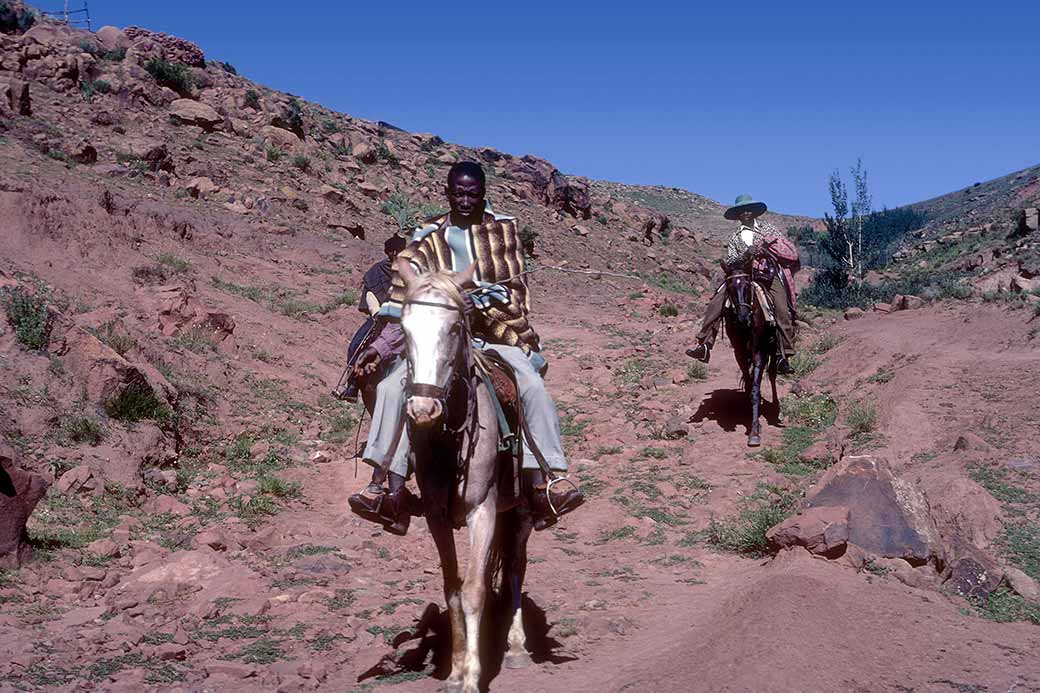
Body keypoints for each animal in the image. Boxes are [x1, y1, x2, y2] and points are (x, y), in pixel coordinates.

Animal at [395, 260, 532, 690]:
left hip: (520, 512)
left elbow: (474, 591)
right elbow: (453, 589)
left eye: (454, 328)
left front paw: (472, 675)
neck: (450, 442)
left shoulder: (482, 512)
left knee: (516, 567)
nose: (423, 409)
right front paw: (455, 670)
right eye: (404, 329)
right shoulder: (437, 518)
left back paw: (517, 647)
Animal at [723, 250, 782, 445]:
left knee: (772, 374)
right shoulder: (740, 353)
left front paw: (755, 431)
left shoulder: (759, 353)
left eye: (747, 286)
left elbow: (756, 388)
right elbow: (749, 384)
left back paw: (775, 406)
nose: (742, 318)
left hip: (772, 347)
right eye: (729, 288)